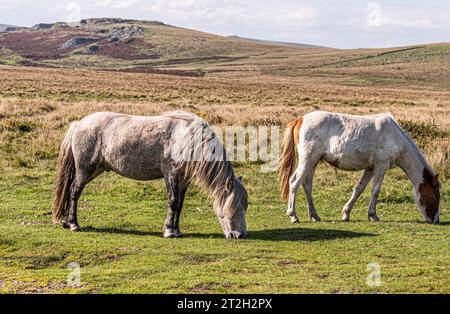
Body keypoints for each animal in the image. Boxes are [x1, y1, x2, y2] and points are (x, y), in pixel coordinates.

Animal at [55, 110, 250, 238]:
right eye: (230, 207)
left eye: (245, 206)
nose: (239, 235)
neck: (187, 137)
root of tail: (78, 124)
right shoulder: (171, 174)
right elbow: (173, 201)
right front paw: (169, 231)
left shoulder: (184, 179)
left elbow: (179, 204)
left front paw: (176, 230)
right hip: (85, 170)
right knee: (74, 191)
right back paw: (74, 224)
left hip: (95, 169)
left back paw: (66, 222)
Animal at [280, 110, 442, 223]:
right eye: (436, 196)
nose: (436, 220)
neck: (395, 137)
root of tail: (300, 119)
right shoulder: (381, 166)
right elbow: (375, 191)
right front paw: (373, 215)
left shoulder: (370, 168)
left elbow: (359, 189)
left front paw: (346, 213)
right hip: (307, 160)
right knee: (294, 182)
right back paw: (293, 216)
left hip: (313, 162)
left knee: (307, 186)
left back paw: (314, 215)